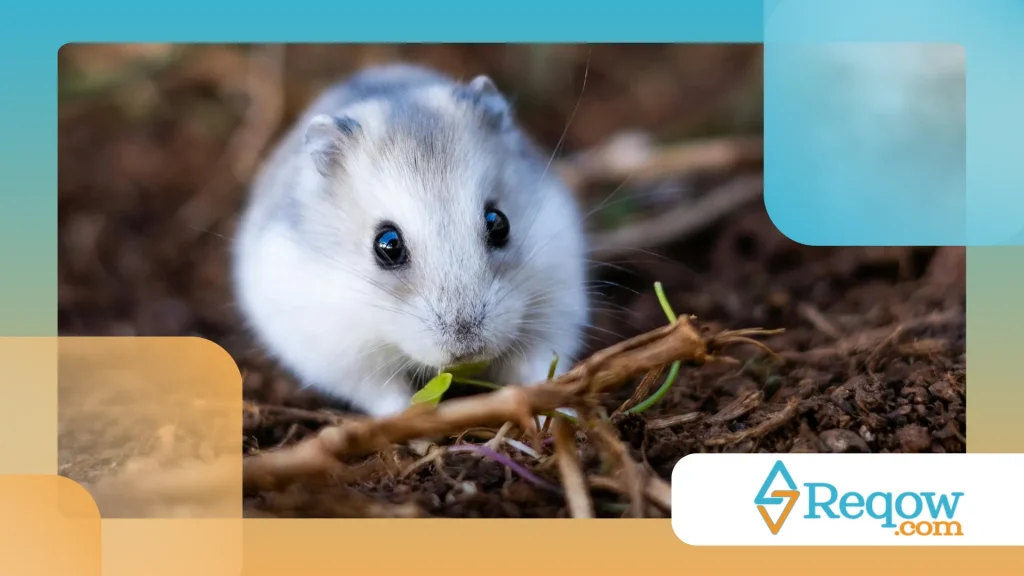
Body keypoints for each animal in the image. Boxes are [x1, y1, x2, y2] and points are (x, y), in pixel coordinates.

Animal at [231, 63, 589, 418]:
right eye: (387, 244)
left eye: (498, 223)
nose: (468, 345)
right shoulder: (345, 358)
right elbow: (387, 396)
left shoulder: (552, 312)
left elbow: (538, 371)